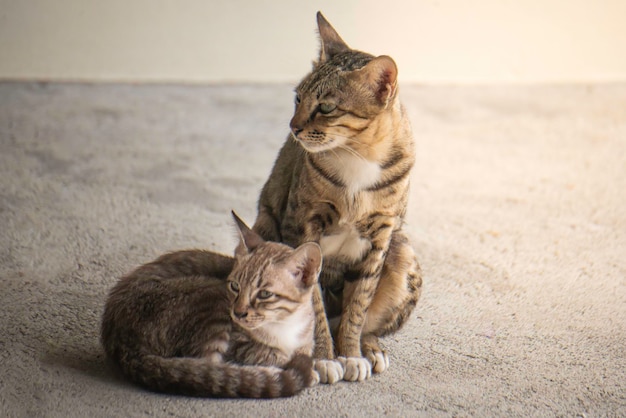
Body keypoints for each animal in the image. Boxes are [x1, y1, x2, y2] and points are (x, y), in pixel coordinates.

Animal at [102, 212, 322, 398]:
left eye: (265, 294)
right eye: (235, 286)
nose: (238, 313)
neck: (284, 324)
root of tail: (123, 346)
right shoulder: (237, 343)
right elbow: (268, 353)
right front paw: (305, 367)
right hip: (211, 297)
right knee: (210, 370)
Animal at [251, 12, 422, 382]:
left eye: (327, 107)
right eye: (298, 98)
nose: (293, 127)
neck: (358, 156)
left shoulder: (380, 238)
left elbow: (358, 307)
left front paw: (350, 354)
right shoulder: (302, 227)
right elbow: (312, 304)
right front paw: (323, 358)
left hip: (403, 251)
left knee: (364, 320)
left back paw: (370, 348)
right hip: (264, 228)